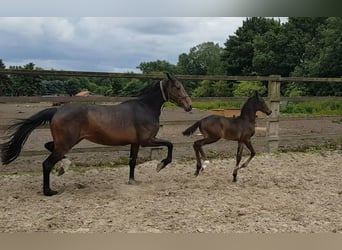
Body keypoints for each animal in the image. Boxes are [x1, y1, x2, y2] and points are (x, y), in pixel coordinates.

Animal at [0, 72, 192, 195]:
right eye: (177, 87)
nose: (189, 106)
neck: (145, 108)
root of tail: (57, 110)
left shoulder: (136, 143)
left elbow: (132, 161)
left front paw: (132, 181)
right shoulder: (148, 140)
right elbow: (170, 144)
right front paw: (160, 165)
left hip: (65, 142)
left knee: (48, 147)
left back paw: (64, 166)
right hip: (66, 143)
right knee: (47, 164)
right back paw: (50, 190)